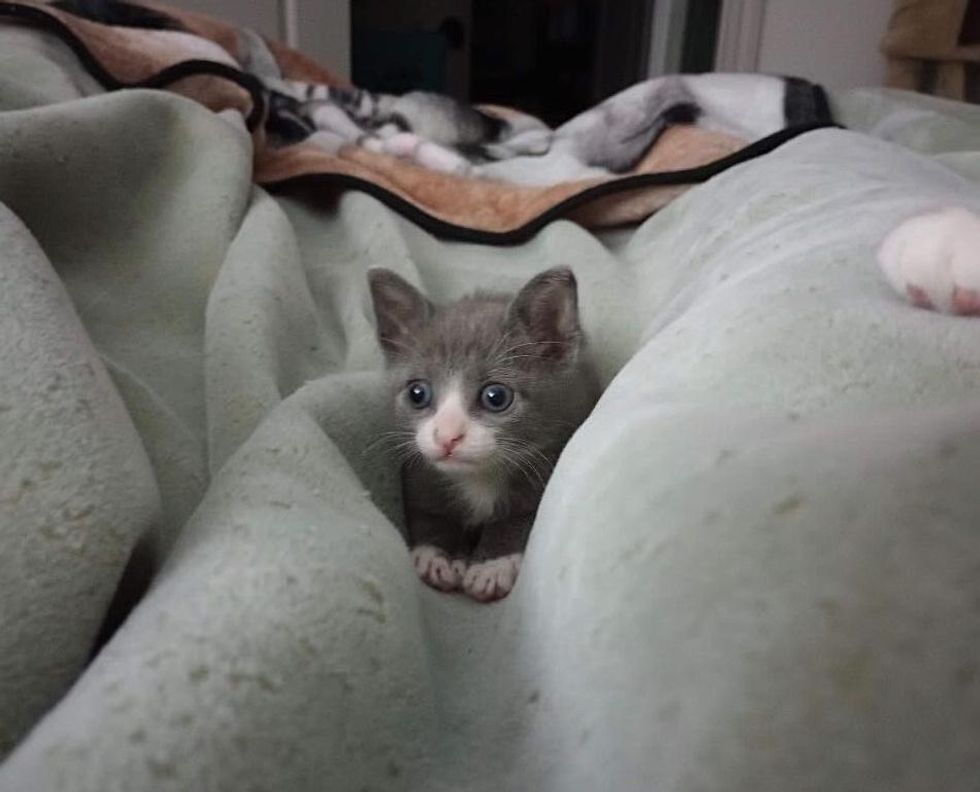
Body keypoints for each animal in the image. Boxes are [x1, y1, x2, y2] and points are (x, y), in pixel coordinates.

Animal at [368, 266, 596, 600]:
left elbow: (523, 516)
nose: (447, 436)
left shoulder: (551, 451)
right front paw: (438, 555)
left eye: (495, 397)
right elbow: (426, 510)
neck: (479, 478)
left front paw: (492, 565)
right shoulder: (417, 472)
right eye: (417, 393)